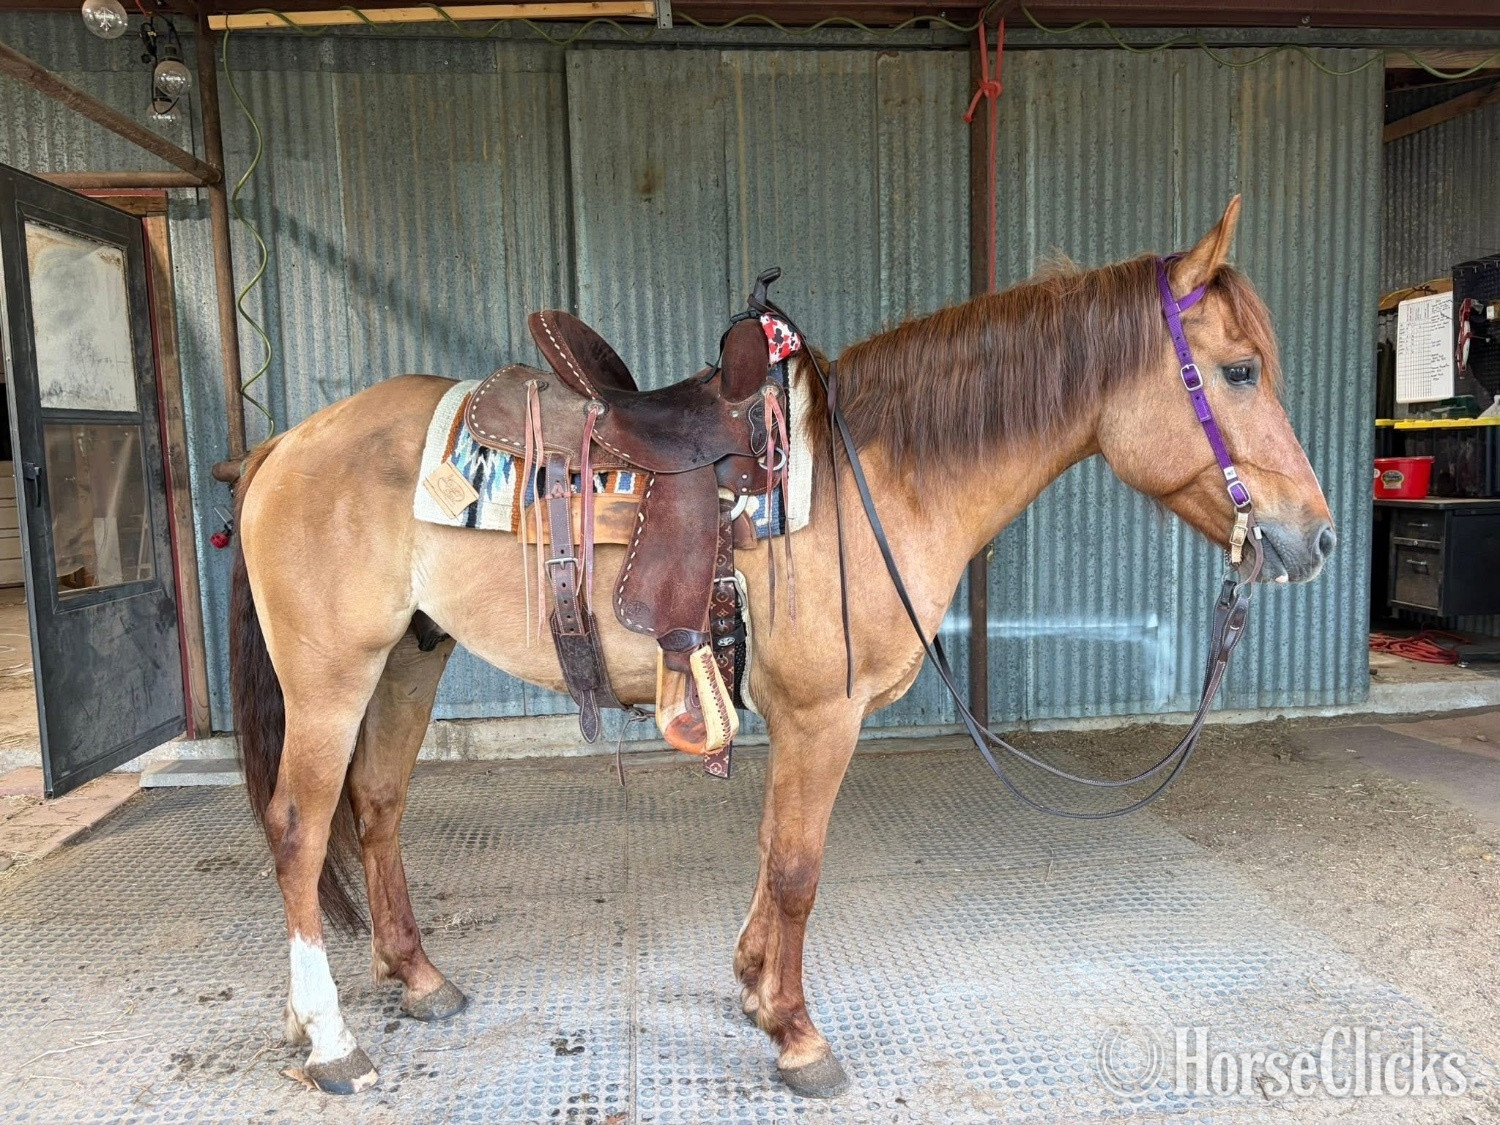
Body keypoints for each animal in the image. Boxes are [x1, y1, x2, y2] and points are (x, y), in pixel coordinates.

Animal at [229, 197, 1334, 1098]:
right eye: (1239, 371)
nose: (1316, 539)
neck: (872, 478)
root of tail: (287, 443)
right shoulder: (820, 713)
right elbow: (800, 867)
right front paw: (798, 1037)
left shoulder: (795, 717)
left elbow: (772, 855)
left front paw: (757, 991)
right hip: (331, 678)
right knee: (298, 827)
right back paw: (330, 1041)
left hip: (409, 661)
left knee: (376, 808)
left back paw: (417, 980)